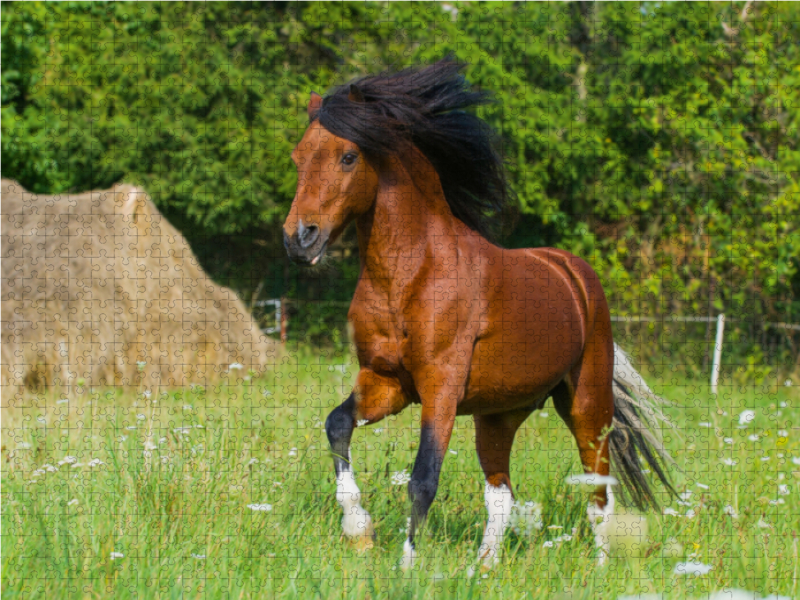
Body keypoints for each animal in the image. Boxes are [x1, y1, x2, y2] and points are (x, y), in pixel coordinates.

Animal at [282, 58, 676, 568]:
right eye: (298, 157)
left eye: (348, 157)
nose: (299, 239)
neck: (411, 274)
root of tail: (575, 274)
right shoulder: (386, 382)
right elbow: (337, 425)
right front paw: (359, 529)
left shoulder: (441, 388)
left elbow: (423, 478)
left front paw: (405, 566)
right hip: (499, 415)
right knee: (502, 495)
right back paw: (482, 569)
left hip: (587, 405)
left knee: (598, 492)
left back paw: (600, 567)